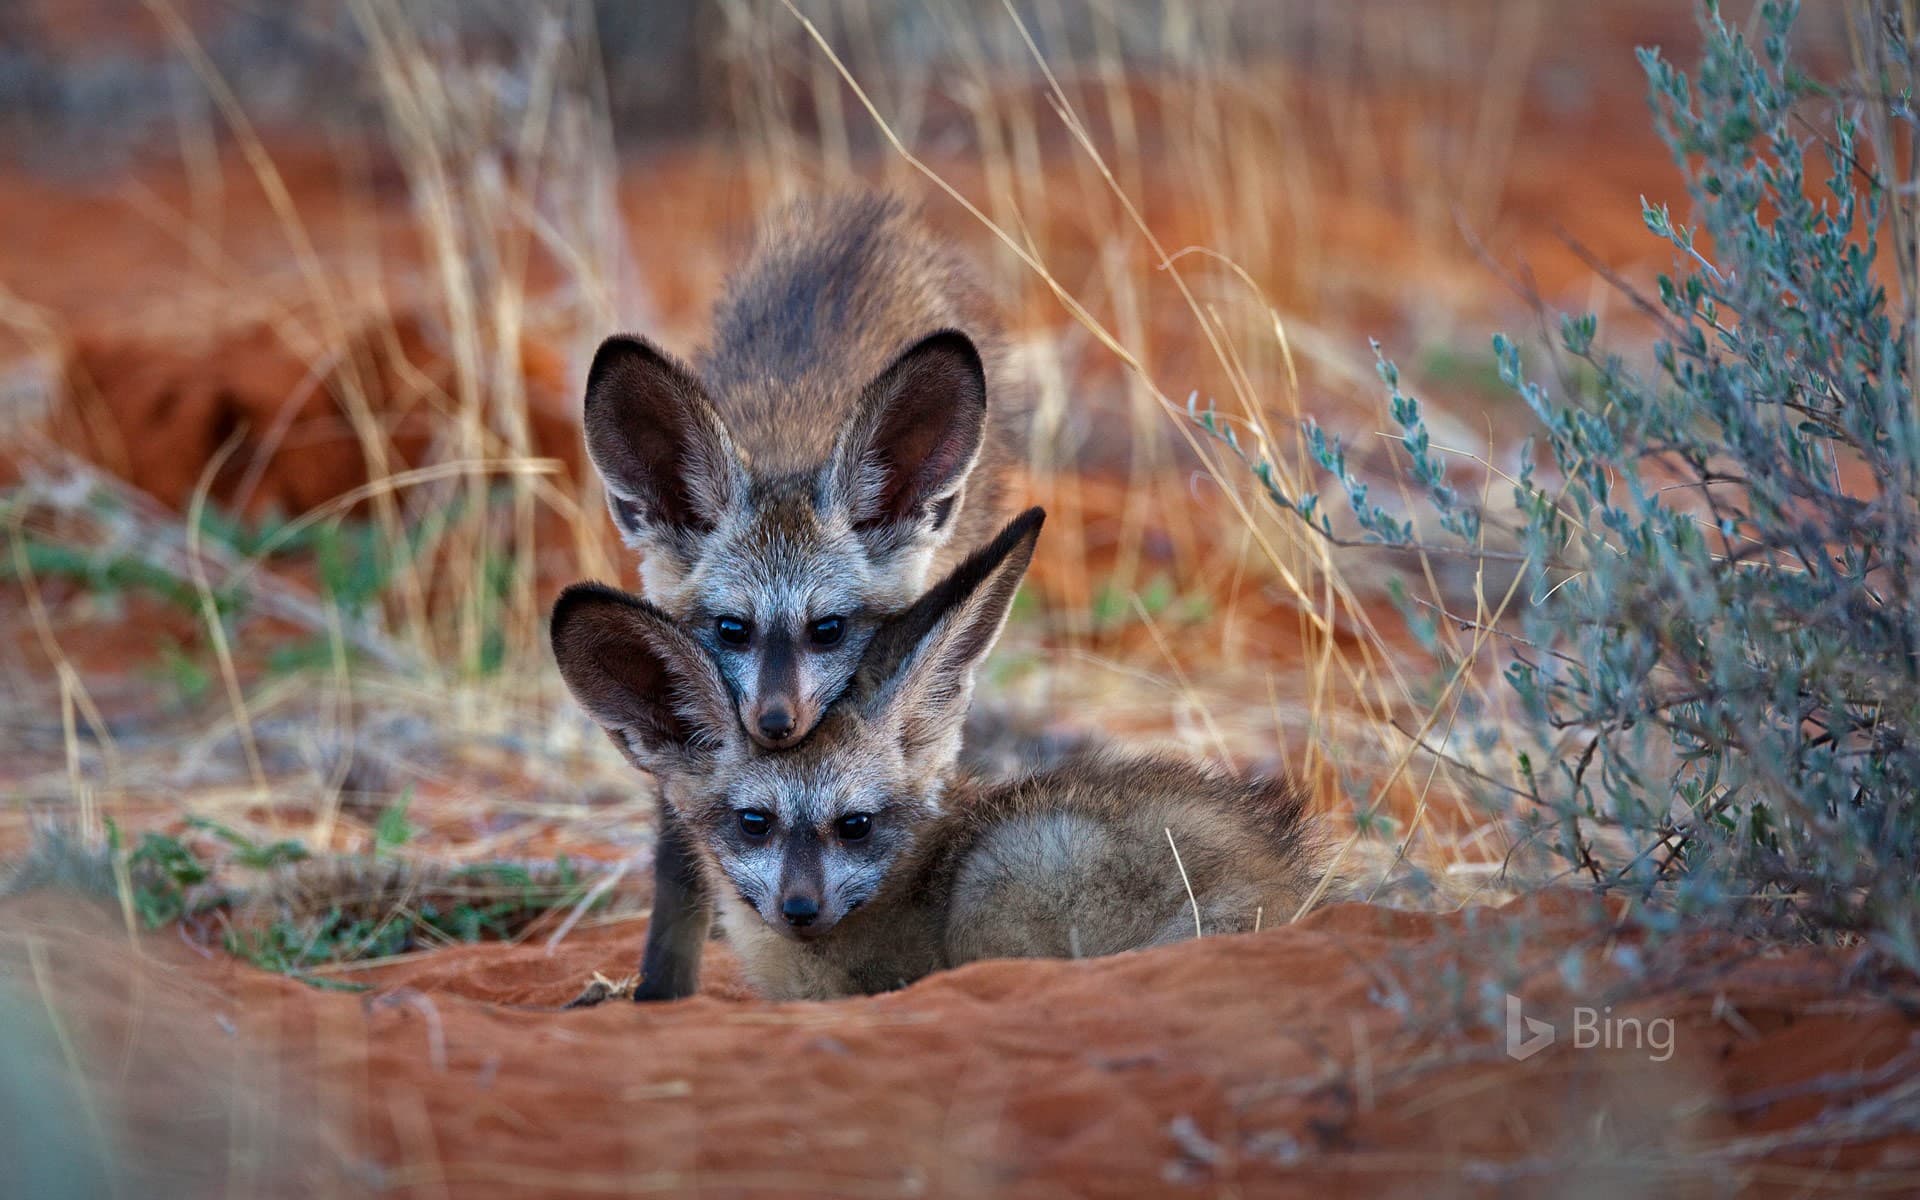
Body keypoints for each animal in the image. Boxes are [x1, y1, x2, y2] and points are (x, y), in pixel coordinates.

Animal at [582, 193, 1025, 998]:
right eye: (732, 628)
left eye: (829, 628)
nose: (775, 724)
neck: (790, 446)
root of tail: (864, 222)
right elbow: (680, 862)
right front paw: (662, 991)